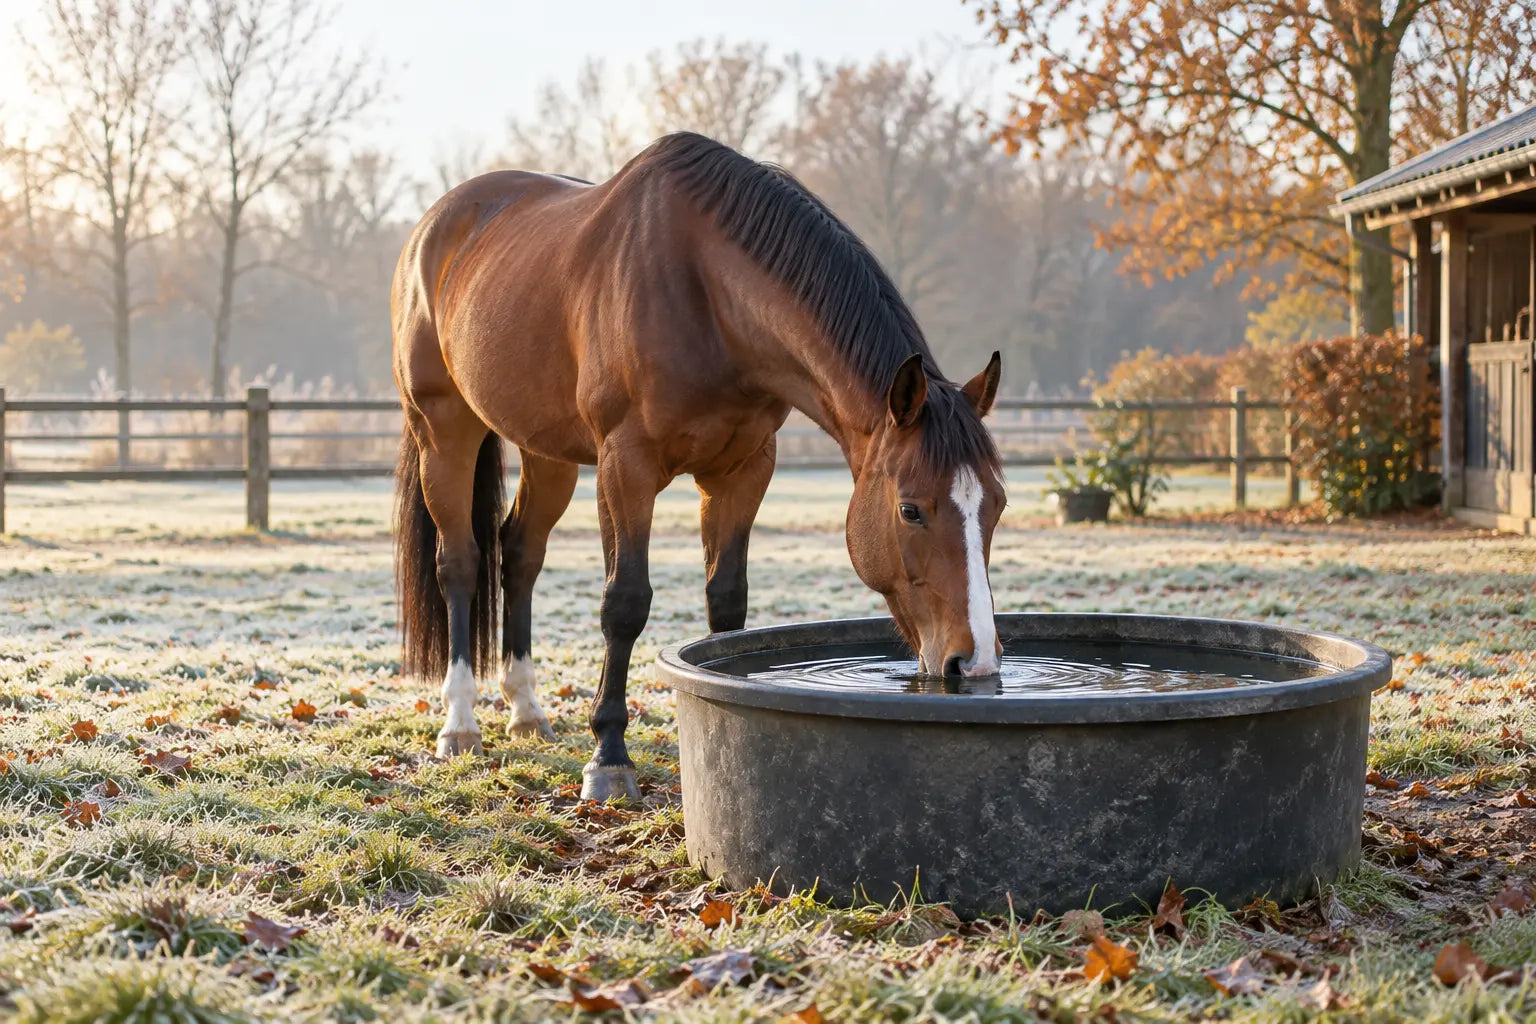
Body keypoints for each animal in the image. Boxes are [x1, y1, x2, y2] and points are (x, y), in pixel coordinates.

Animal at [392, 132, 1006, 802]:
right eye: (910, 509)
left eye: (996, 506)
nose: (973, 663)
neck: (707, 295)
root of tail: (435, 224)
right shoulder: (626, 468)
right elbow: (625, 603)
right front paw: (609, 757)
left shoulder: (742, 472)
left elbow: (727, 602)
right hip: (444, 429)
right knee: (460, 563)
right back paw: (460, 722)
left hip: (546, 452)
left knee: (520, 555)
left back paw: (526, 709)